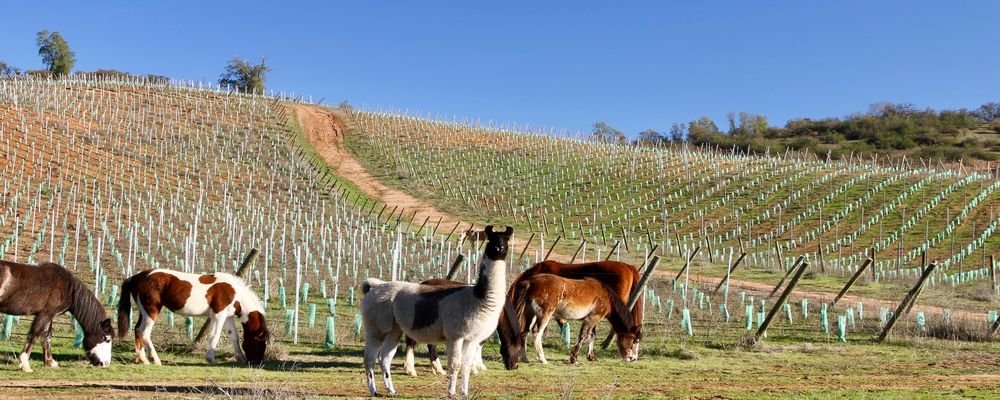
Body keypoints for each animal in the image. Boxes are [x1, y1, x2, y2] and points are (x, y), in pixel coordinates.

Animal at [116, 268, 270, 366]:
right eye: (260, 343)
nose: (257, 362)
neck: (235, 293)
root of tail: (136, 277)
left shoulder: (227, 317)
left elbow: (234, 336)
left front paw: (240, 357)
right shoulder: (218, 316)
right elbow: (214, 336)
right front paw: (211, 359)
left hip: (144, 312)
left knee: (137, 330)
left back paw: (142, 359)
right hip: (151, 312)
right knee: (144, 333)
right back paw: (155, 360)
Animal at [362, 225, 516, 396]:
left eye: (506, 240)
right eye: (491, 239)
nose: (499, 247)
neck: (477, 298)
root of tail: (375, 286)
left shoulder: (471, 338)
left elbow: (466, 365)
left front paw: (465, 392)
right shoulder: (456, 335)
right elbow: (455, 365)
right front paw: (451, 393)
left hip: (395, 328)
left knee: (384, 358)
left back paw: (391, 390)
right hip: (376, 326)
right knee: (370, 358)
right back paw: (374, 391)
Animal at [498, 260, 644, 368]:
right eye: (634, 340)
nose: (632, 358)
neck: (606, 295)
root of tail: (529, 283)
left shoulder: (591, 318)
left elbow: (590, 335)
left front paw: (589, 356)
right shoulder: (592, 318)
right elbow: (583, 336)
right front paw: (574, 358)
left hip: (531, 314)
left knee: (525, 332)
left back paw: (526, 358)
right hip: (544, 314)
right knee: (536, 333)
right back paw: (542, 359)